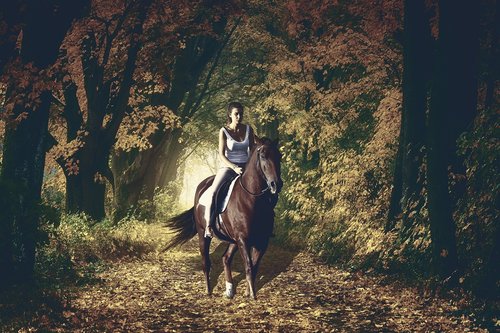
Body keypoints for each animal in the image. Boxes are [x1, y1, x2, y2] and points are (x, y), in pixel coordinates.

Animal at [164, 137, 282, 298]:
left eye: (279, 156)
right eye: (263, 156)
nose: (277, 184)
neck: (252, 199)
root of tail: (203, 185)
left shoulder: (261, 241)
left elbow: (254, 266)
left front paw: (248, 292)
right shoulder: (243, 239)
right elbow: (249, 265)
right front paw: (252, 294)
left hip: (233, 240)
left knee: (226, 258)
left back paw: (229, 290)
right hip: (203, 234)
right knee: (206, 262)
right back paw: (208, 290)